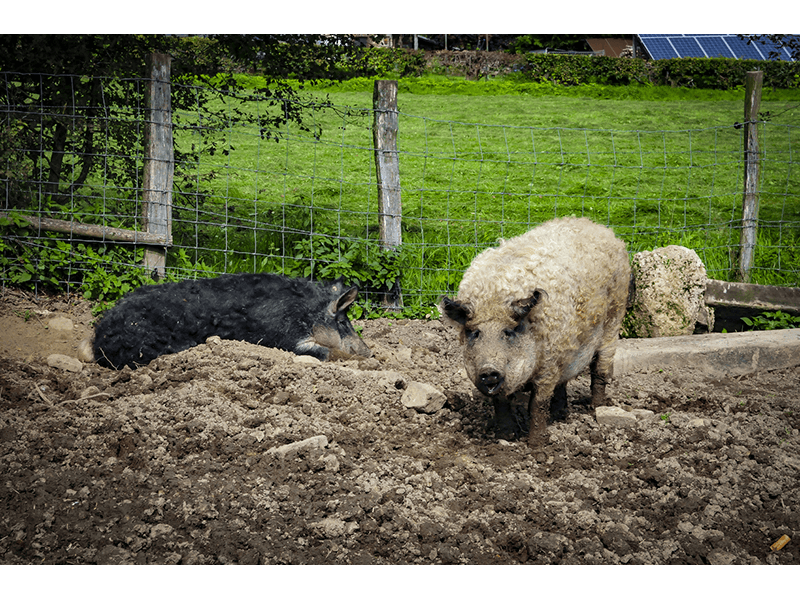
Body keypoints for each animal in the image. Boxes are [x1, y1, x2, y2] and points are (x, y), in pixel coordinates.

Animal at [87, 274, 372, 368]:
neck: (306, 314)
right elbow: (324, 352)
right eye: (343, 323)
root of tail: (98, 337)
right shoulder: (282, 337)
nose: (369, 352)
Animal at [444, 217, 632, 446]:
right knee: (564, 381)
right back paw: (560, 416)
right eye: (474, 332)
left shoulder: (548, 363)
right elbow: (501, 404)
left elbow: (538, 403)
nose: (489, 369)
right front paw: (506, 437)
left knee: (600, 370)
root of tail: (600, 228)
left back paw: (596, 409)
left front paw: (536, 444)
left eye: (509, 331)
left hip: (614, 320)